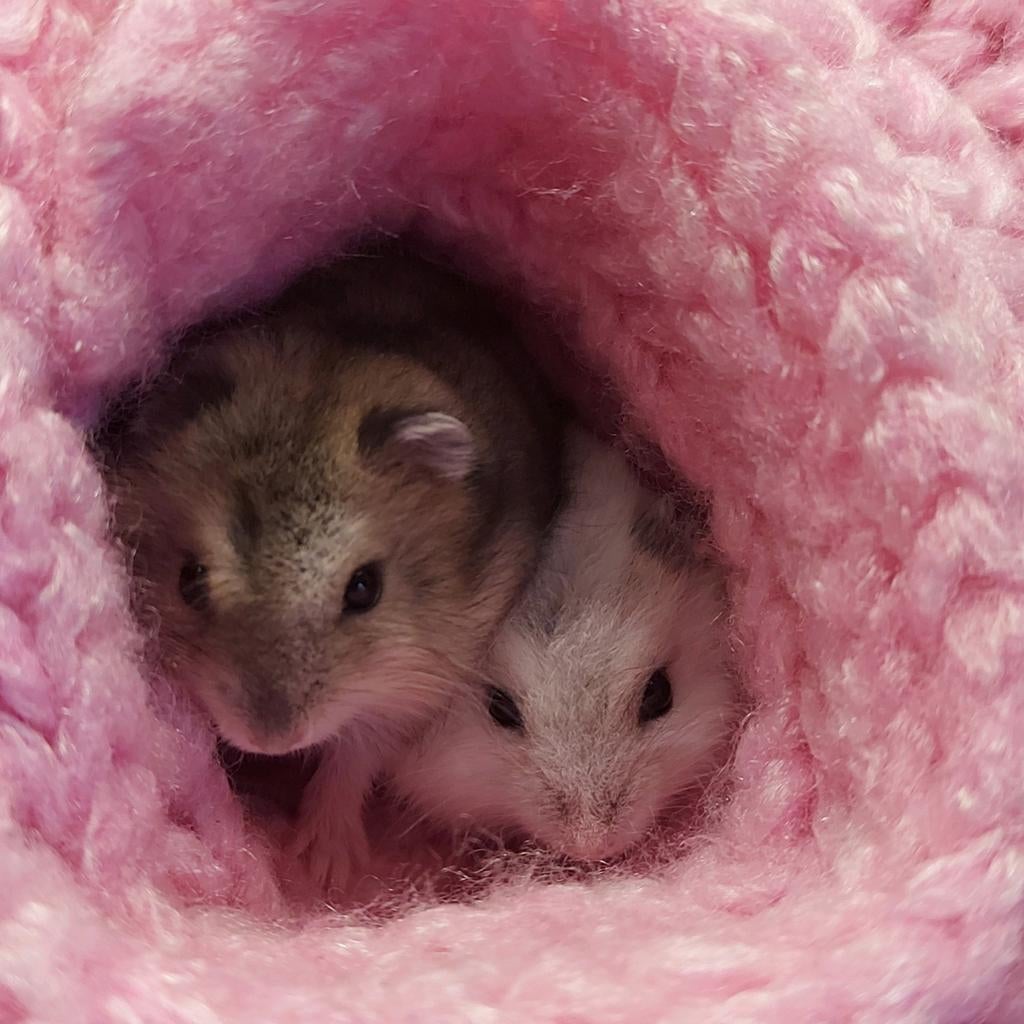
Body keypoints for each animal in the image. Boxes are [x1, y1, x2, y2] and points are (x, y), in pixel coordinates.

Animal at [103, 246, 564, 891]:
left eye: (365, 588)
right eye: (187, 580)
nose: (268, 739)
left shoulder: (414, 685)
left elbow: (354, 755)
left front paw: (325, 868)